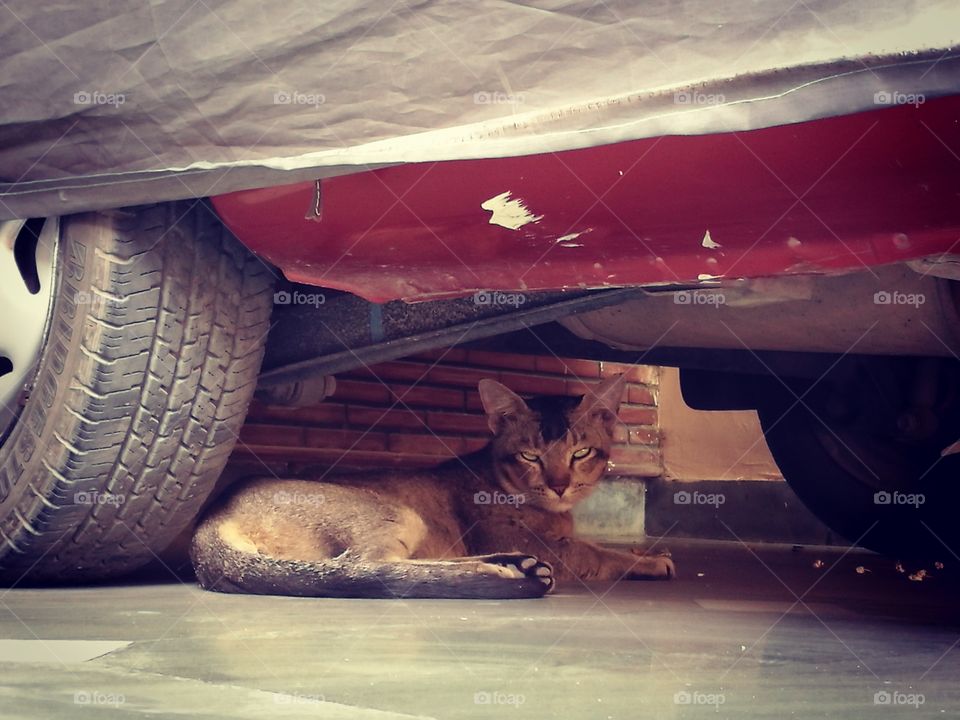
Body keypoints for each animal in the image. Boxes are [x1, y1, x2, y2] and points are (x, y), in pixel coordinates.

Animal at [191, 374, 676, 600]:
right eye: (530, 456)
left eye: (581, 453)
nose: (559, 486)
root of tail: (212, 517)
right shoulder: (534, 539)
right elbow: (597, 553)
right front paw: (650, 562)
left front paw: (646, 551)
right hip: (397, 515)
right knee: (370, 570)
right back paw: (509, 573)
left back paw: (513, 566)